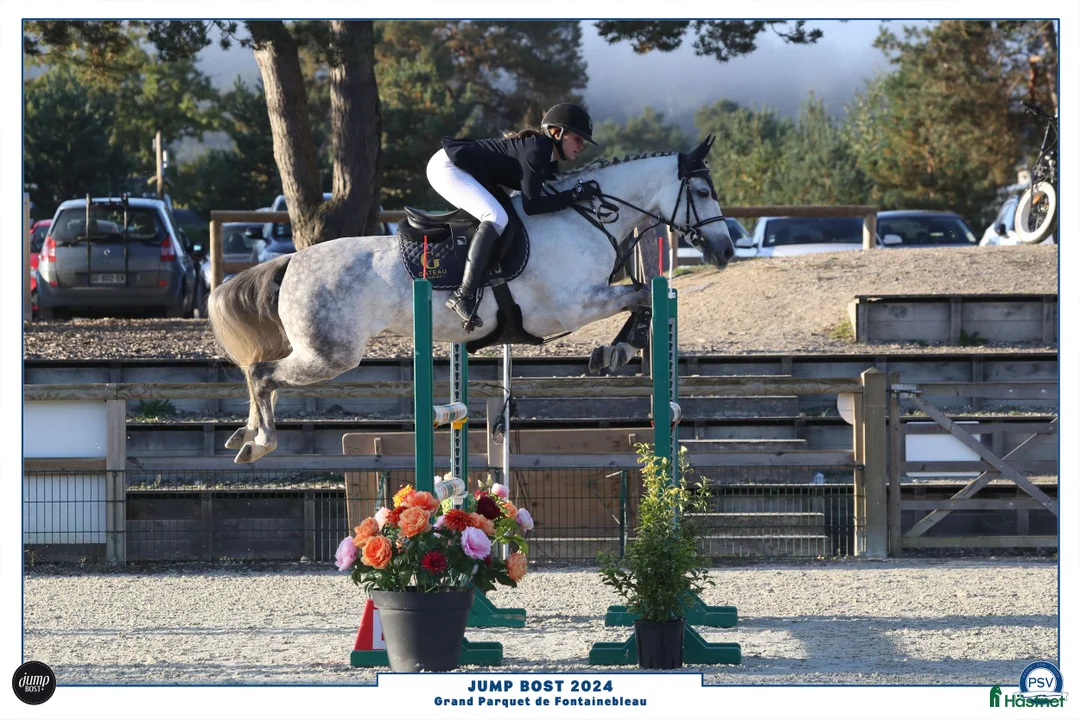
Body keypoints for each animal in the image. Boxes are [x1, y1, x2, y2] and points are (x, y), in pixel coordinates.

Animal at [208, 136, 735, 463]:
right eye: (703, 190)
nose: (726, 250)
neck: (585, 218)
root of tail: (290, 263)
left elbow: (643, 299)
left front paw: (615, 351)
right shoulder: (571, 306)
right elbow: (642, 294)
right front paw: (616, 350)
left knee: (260, 375)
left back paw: (244, 434)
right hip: (330, 354)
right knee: (262, 373)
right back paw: (259, 442)